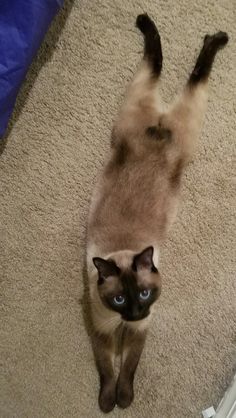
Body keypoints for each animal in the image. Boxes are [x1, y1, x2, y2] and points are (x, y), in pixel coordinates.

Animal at [86, 12, 229, 412]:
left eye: (146, 295)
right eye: (120, 299)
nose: (138, 312)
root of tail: (160, 126)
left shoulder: (139, 333)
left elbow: (128, 369)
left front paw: (124, 399)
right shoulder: (104, 328)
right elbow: (107, 368)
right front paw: (108, 402)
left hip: (185, 123)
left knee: (186, 74)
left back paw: (215, 38)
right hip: (141, 106)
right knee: (157, 64)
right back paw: (151, 22)